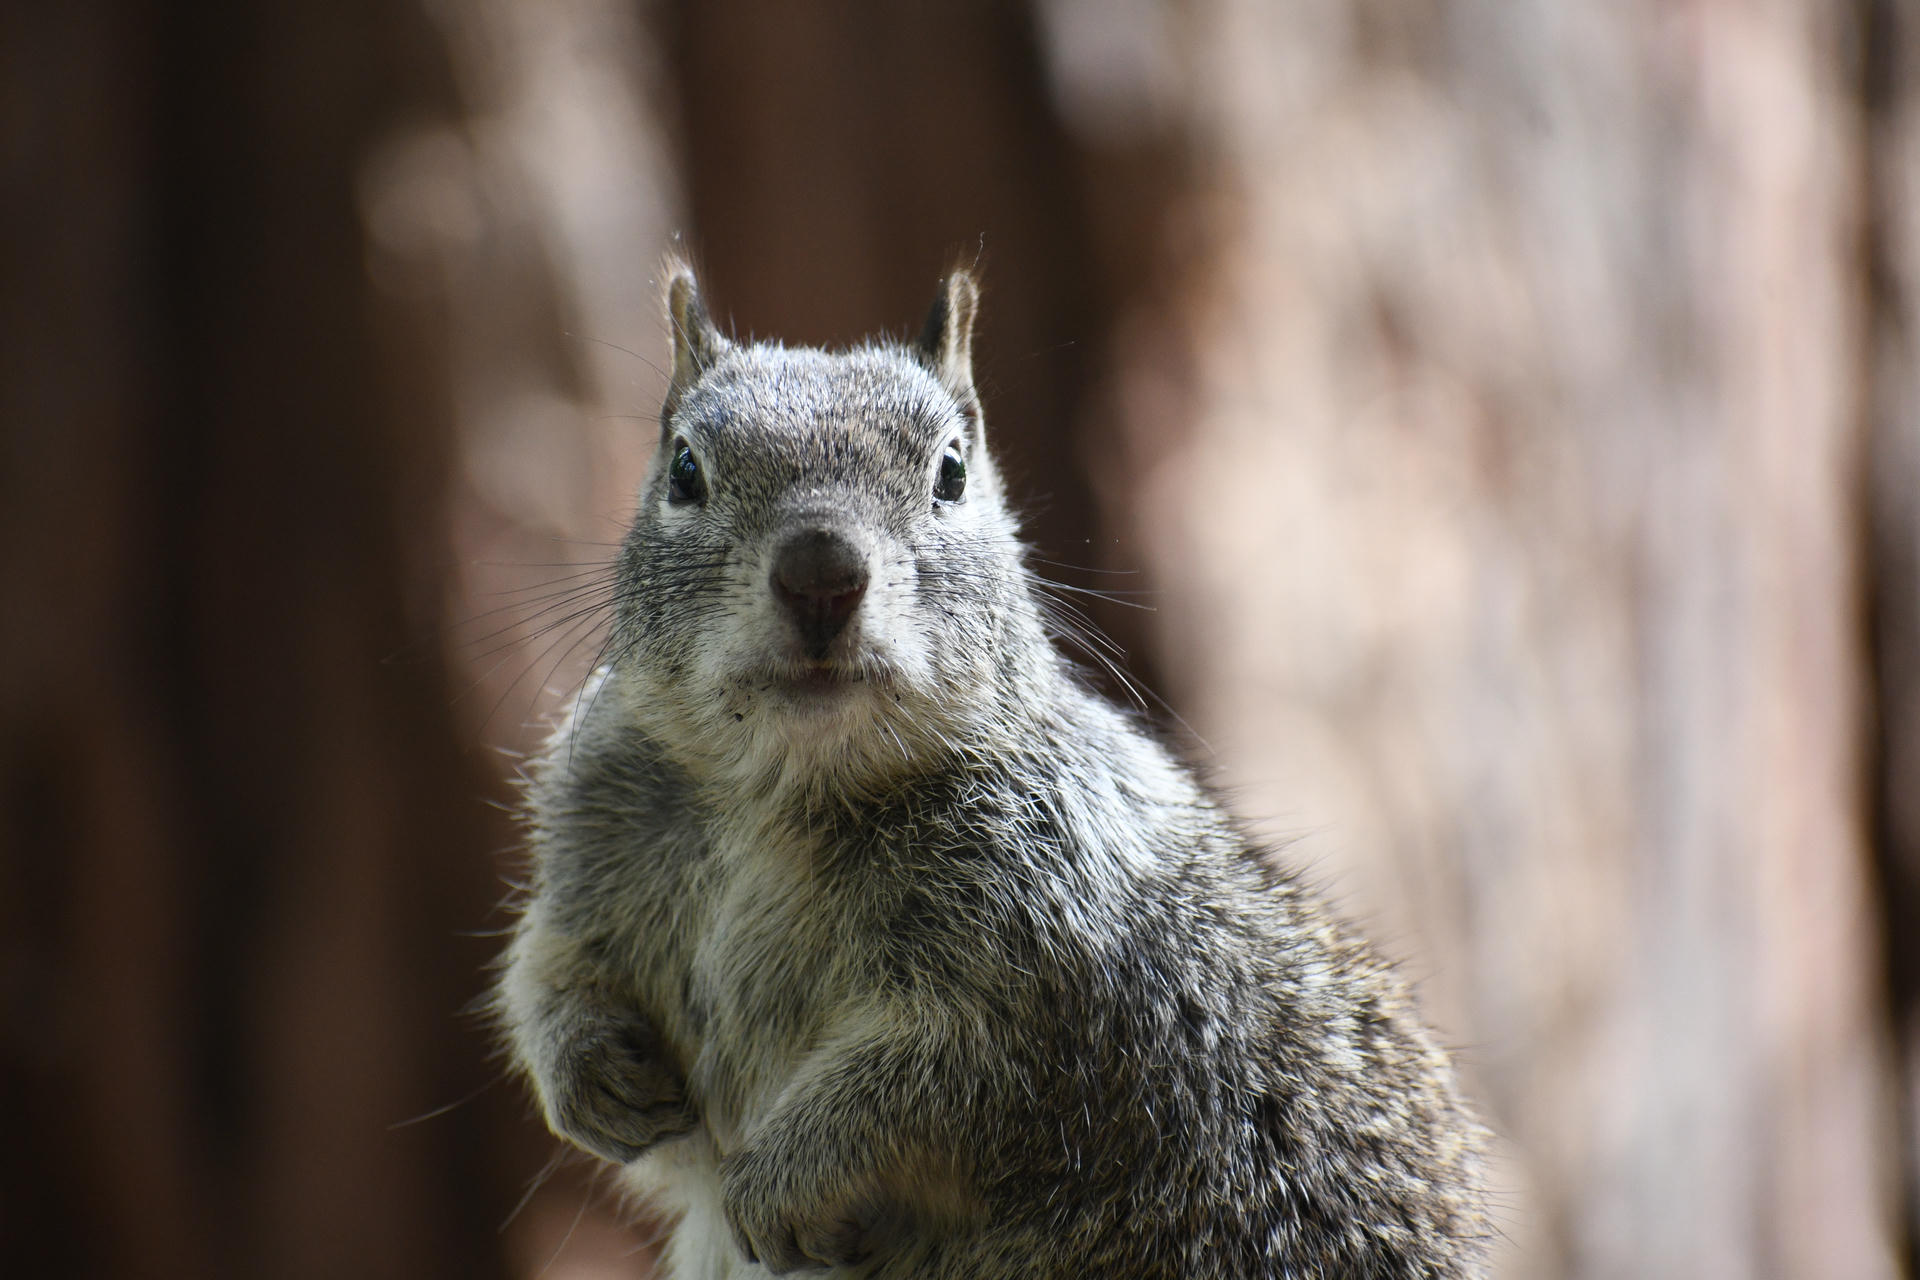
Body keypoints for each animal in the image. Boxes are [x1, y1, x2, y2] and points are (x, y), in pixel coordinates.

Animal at [496, 261, 1489, 1279]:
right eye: (685, 470)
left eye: (952, 472)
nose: (820, 573)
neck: (779, 796)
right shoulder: (590, 851)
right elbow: (546, 965)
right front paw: (584, 1071)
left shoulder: (1044, 990)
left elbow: (926, 1092)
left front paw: (777, 1183)